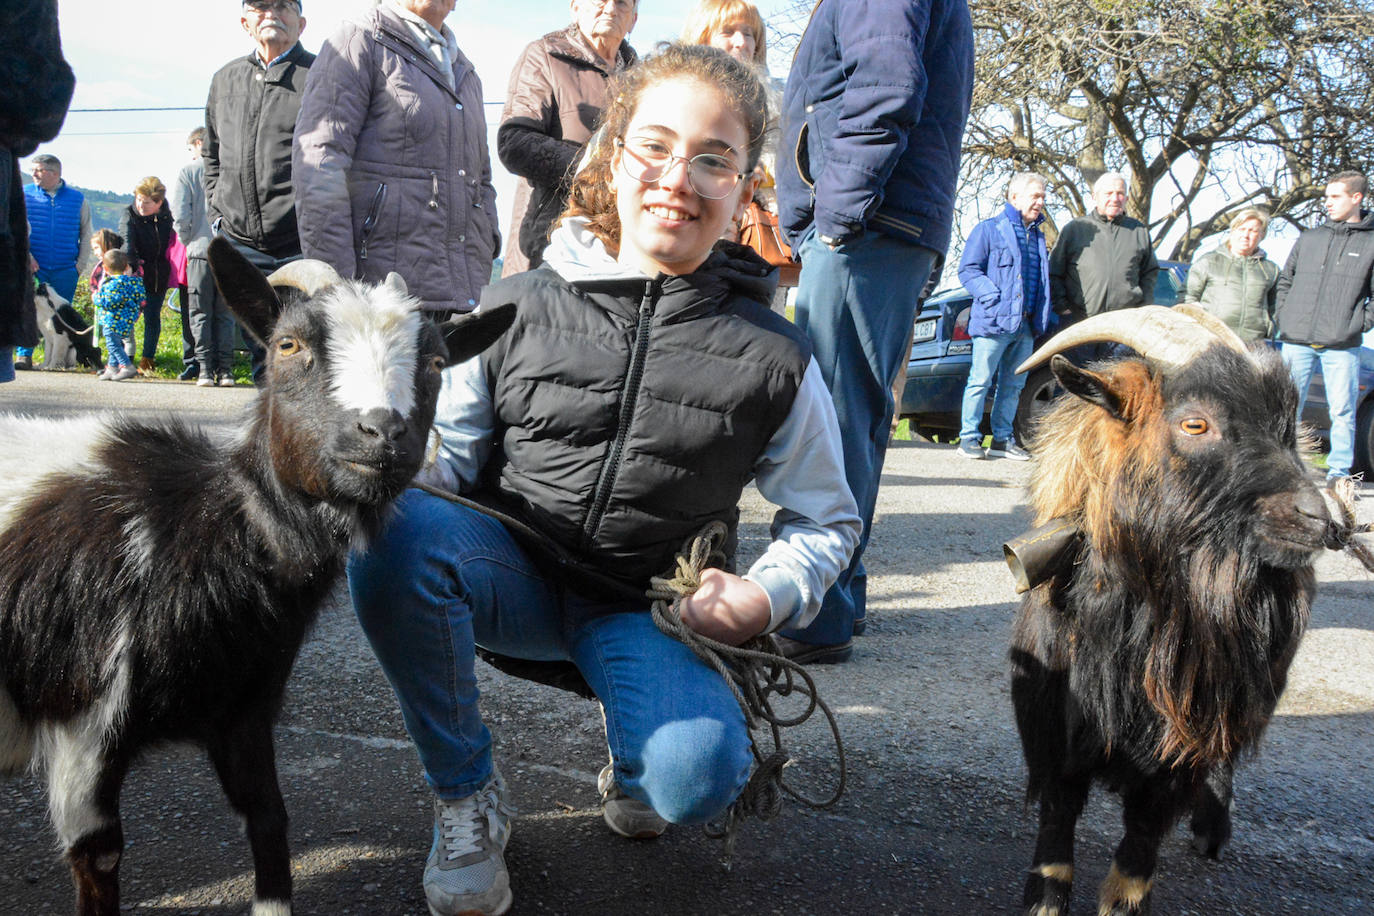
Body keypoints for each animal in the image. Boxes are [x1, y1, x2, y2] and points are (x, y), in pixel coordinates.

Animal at [0, 238, 516, 916]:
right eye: (288, 345)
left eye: (434, 361)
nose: (381, 433)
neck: (196, 534)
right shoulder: (83, 730)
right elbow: (100, 863)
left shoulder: (243, 705)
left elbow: (269, 818)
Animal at [1011, 304, 1330, 911]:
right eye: (1195, 424)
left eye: (1286, 428)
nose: (1319, 518)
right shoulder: (1052, 706)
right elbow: (1059, 804)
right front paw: (1045, 893)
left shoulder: (1185, 730)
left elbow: (1145, 827)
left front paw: (1122, 901)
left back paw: (1212, 831)